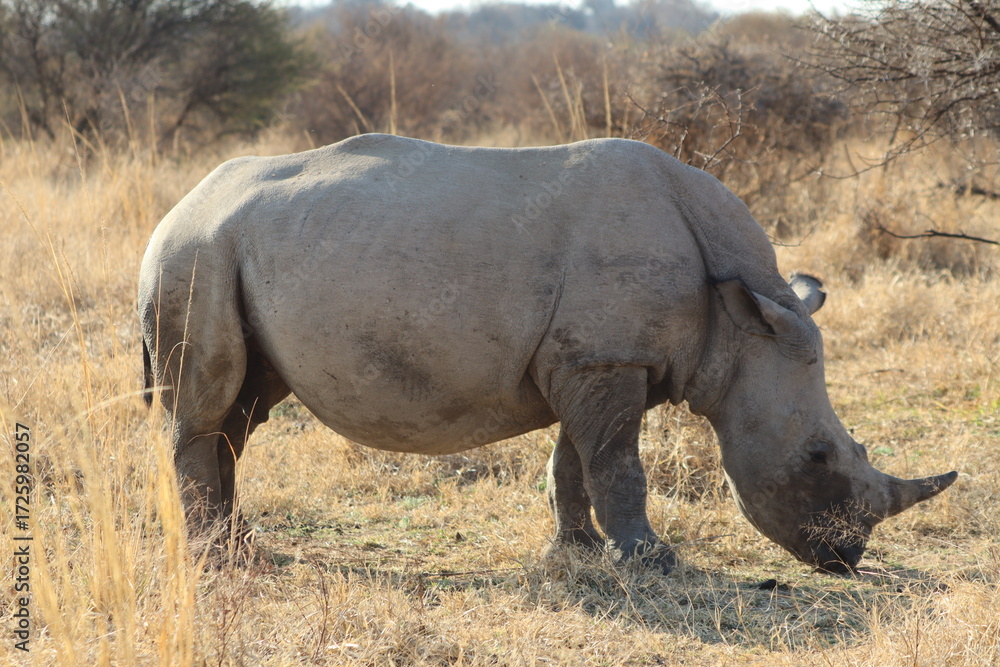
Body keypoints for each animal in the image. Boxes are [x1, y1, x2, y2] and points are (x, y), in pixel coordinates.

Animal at [138, 133, 956, 573]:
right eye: (817, 456)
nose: (845, 558)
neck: (741, 316)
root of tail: (174, 209)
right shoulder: (607, 360)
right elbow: (619, 465)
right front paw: (652, 561)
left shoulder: (593, 359)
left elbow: (576, 461)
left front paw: (582, 552)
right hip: (196, 255)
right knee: (209, 408)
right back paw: (214, 556)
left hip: (223, 252)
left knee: (243, 410)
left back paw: (239, 544)